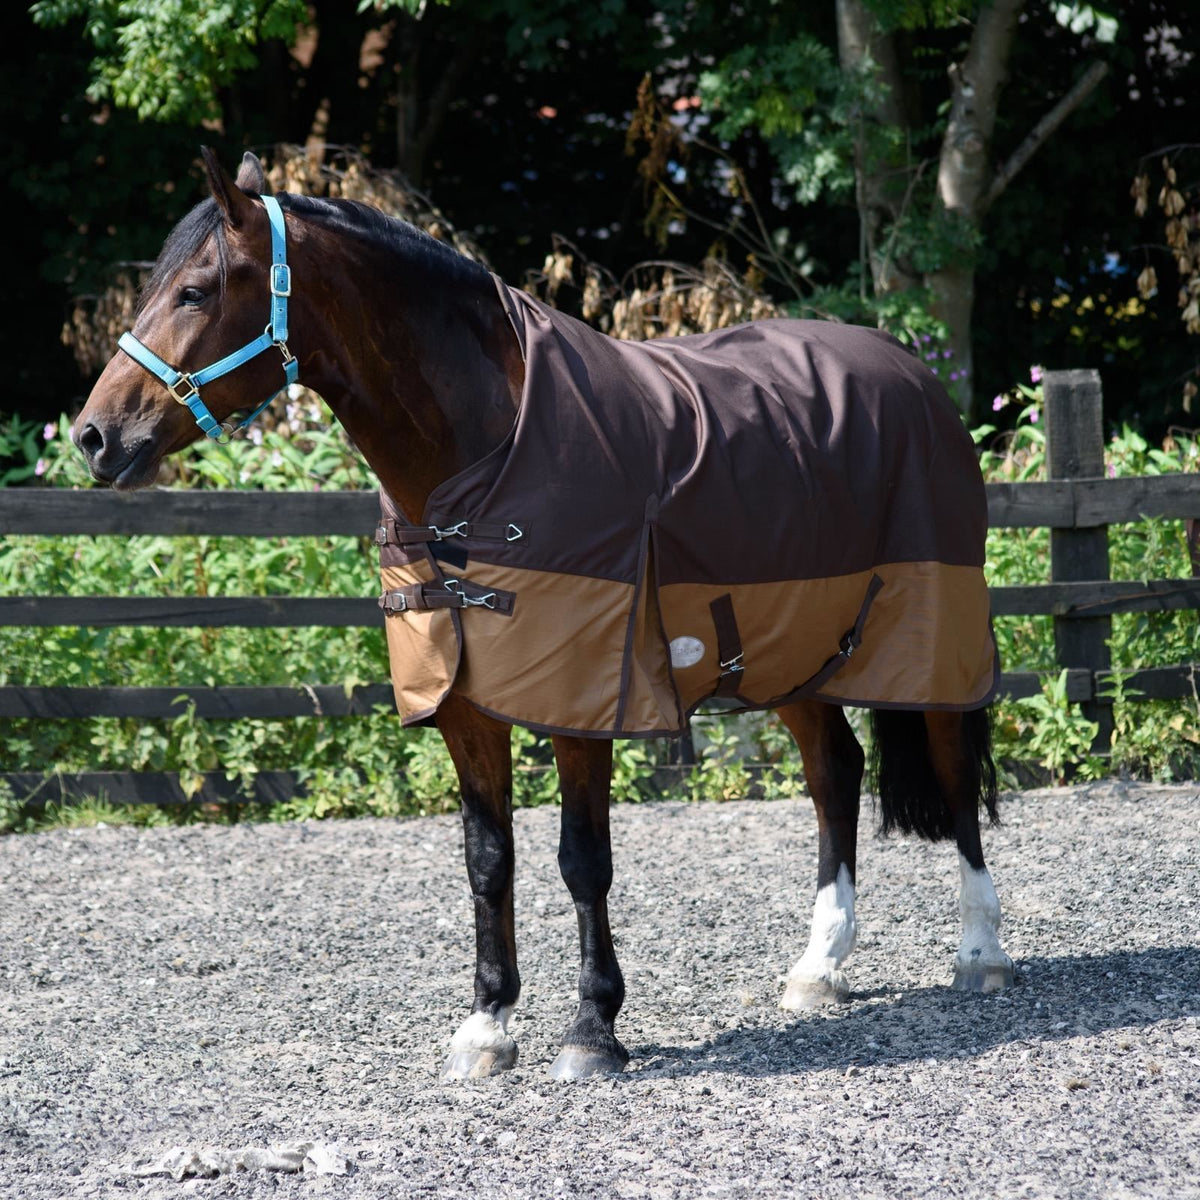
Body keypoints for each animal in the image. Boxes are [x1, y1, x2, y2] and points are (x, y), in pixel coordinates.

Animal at [72, 149, 1013, 1081]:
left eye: (195, 292)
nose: (92, 437)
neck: (487, 454)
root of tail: (914, 374)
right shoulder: (461, 706)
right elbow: (489, 860)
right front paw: (487, 1026)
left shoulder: (584, 699)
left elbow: (581, 860)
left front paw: (593, 1029)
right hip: (789, 649)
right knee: (836, 772)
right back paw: (819, 967)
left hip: (931, 636)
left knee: (953, 771)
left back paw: (980, 951)